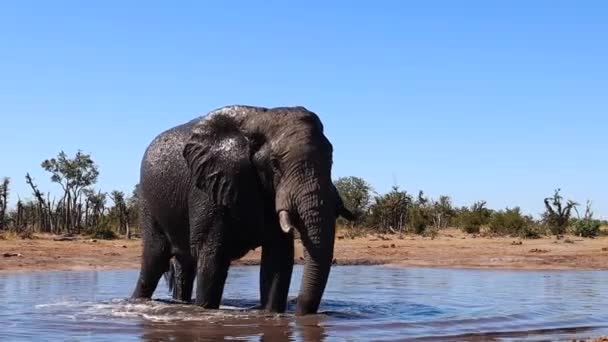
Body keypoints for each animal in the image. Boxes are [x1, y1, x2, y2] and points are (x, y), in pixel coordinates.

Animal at [131, 104, 354, 316]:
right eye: (275, 164)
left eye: (331, 159)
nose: (301, 313)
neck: (261, 118)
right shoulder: (208, 187)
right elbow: (212, 258)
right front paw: (204, 312)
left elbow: (278, 259)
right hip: (148, 203)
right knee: (154, 261)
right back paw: (138, 301)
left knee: (183, 266)